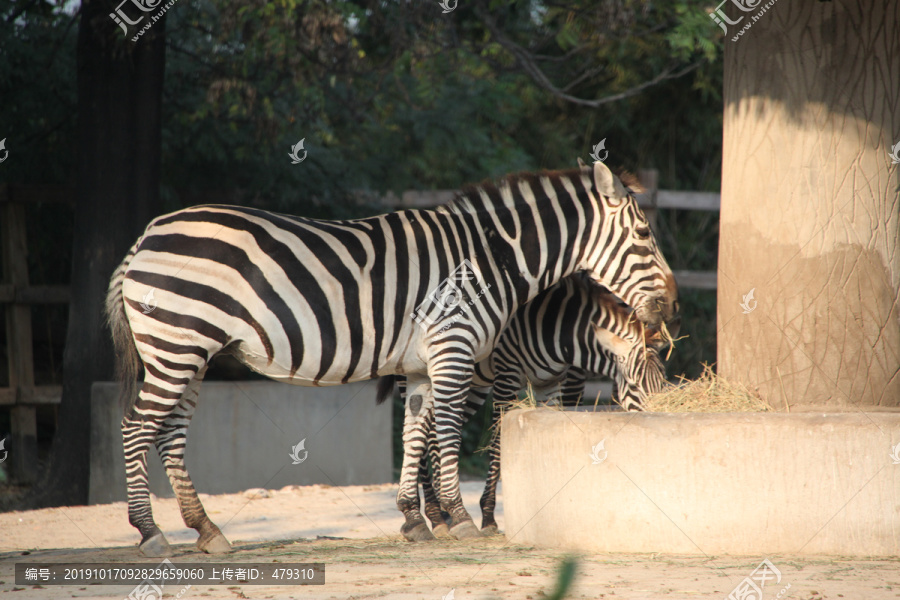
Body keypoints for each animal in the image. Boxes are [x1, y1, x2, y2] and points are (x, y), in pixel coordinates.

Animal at [380, 274, 676, 536]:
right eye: (635, 387)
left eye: (661, 385)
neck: (558, 330)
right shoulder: (507, 375)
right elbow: (498, 443)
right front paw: (488, 516)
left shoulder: (554, 381)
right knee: (420, 435)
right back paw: (432, 515)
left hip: (475, 383)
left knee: (433, 431)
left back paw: (442, 514)